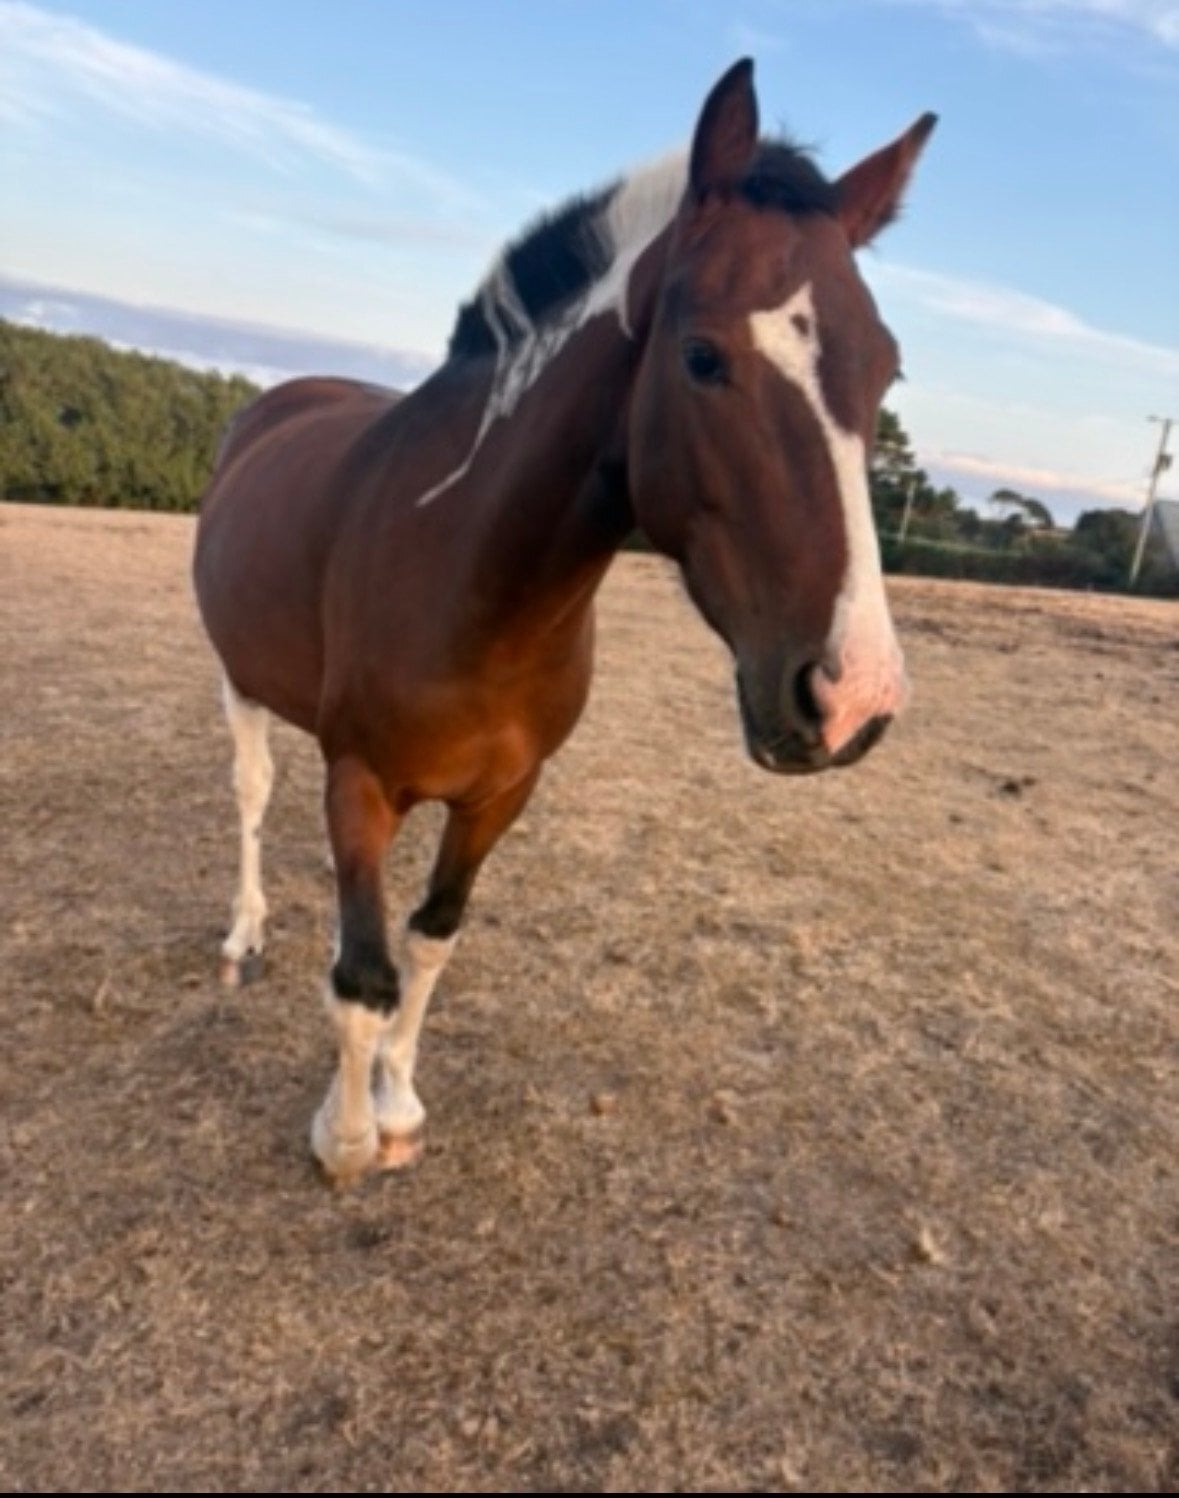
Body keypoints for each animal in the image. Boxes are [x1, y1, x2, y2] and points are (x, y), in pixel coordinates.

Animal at [193, 59, 936, 1184]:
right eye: (702, 357)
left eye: (885, 366)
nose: (854, 694)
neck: (469, 580)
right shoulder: (357, 780)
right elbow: (363, 975)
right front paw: (347, 1138)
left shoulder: (503, 794)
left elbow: (431, 937)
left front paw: (396, 1102)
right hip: (240, 680)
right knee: (248, 795)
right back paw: (243, 935)